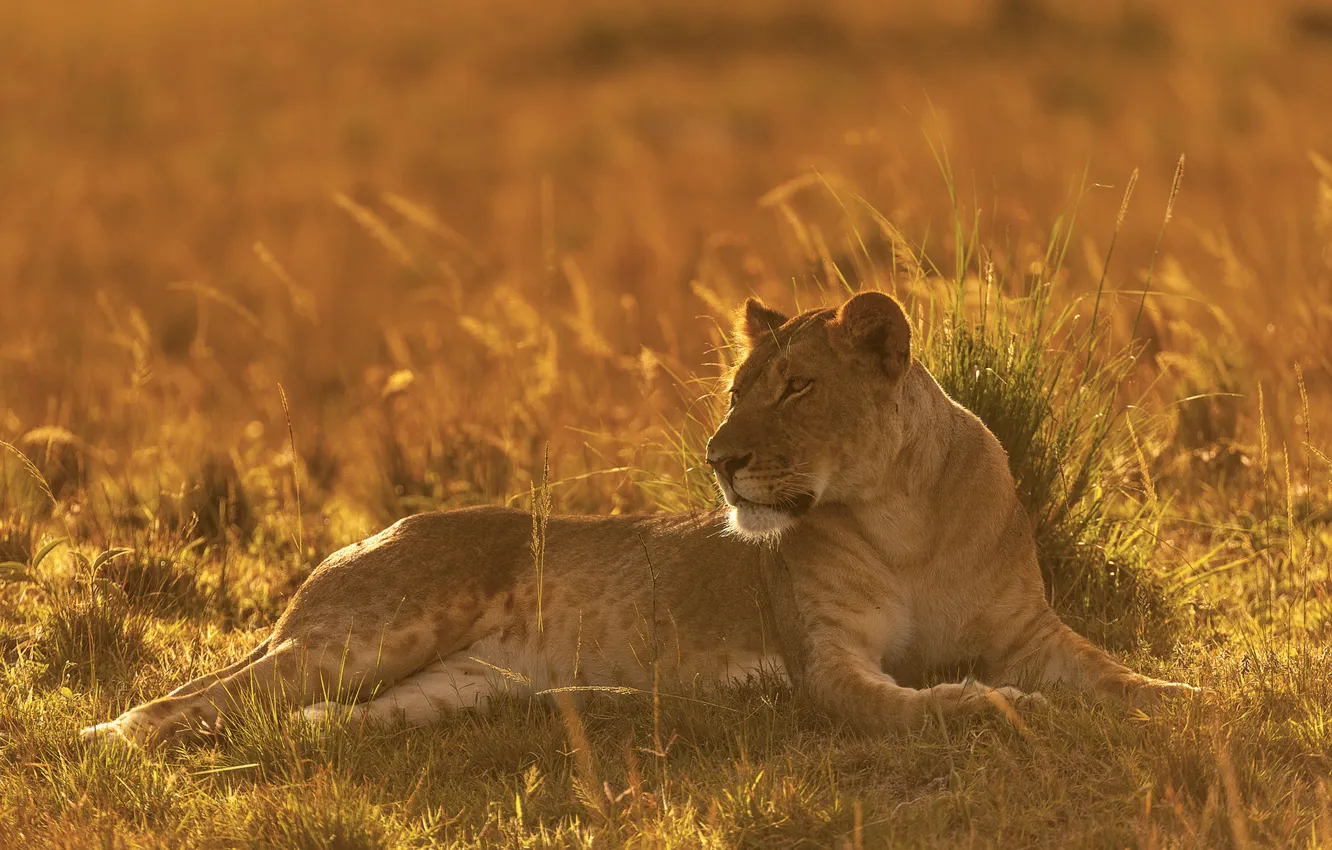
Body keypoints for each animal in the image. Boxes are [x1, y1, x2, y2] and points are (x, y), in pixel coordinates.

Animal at [82, 292, 1195, 747]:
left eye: (795, 388)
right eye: (737, 388)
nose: (718, 458)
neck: (902, 513)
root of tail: (362, 538)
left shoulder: (1029, 630)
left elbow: (1115, 673)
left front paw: (1187, 696)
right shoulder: (827, 664)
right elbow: (918, 702)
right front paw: (992, 706)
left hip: (445, 688)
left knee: (293, 714)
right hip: (367, 629)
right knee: (191, 697)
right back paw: (117, 739)